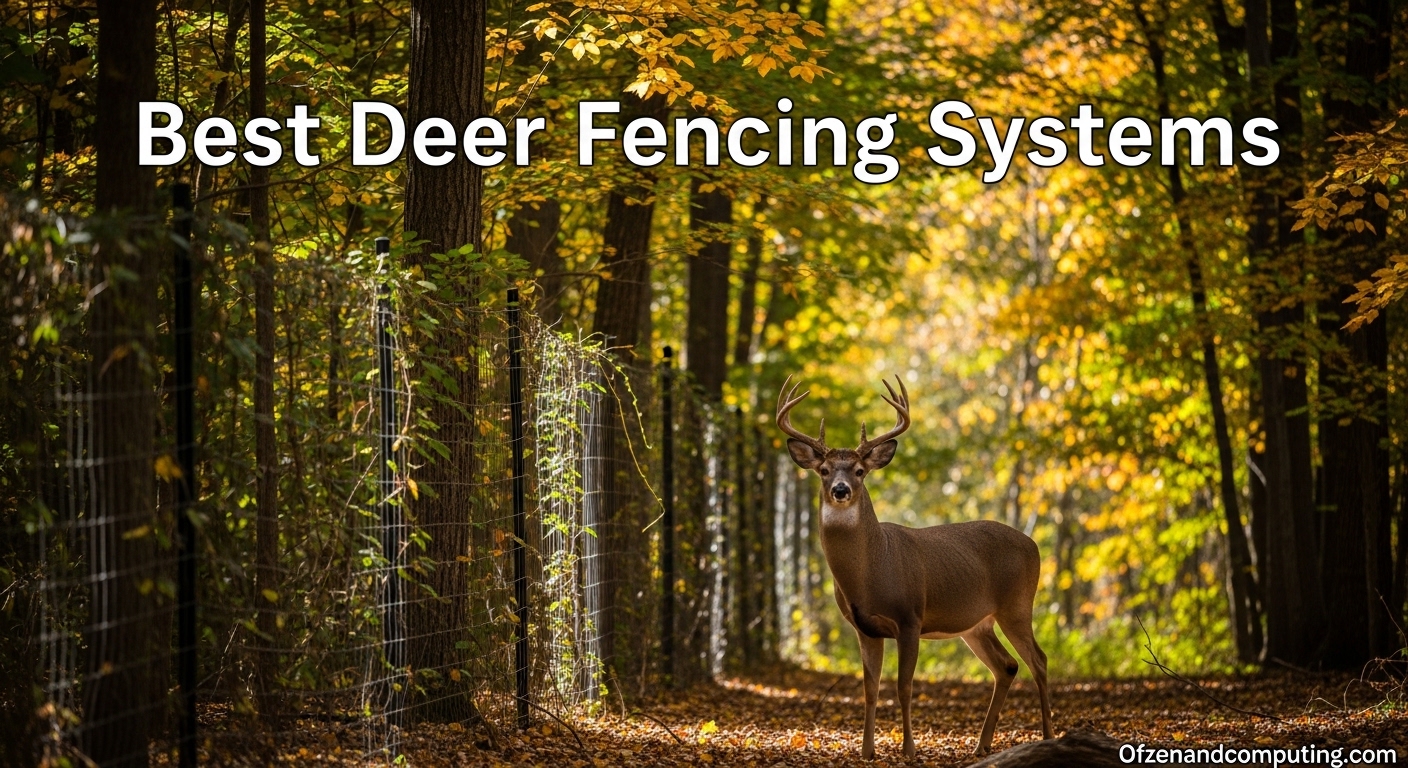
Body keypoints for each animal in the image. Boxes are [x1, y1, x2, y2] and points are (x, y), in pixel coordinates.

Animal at [776, 376, 1053, 760]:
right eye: (824, 470)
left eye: (860, 471)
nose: (841, 490)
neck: (870, 571)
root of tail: (1034, 544)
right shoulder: (864, 628)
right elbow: (871, 688)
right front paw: (867, 751)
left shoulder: (910, 617)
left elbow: (904, 687)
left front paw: (908, 749)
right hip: (976, 625)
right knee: (1007, 666)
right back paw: (981, 745)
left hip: (1016, 605)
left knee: (1038, 660)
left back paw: (1047, 737)